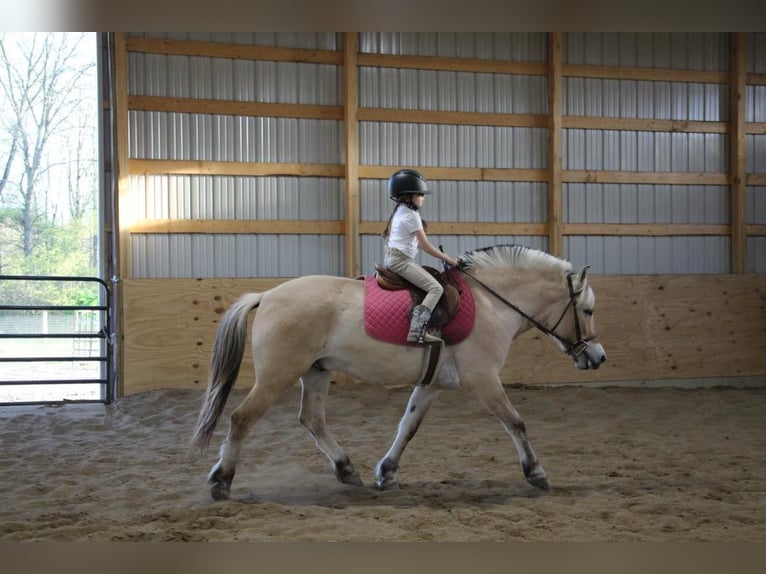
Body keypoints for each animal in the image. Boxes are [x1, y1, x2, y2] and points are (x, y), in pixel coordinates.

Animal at [190, 245, 608, 502]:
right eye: (587, 311)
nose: (598, 357)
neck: (491, 303)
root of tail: (268, 295)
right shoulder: (484, 380)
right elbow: (516, 422)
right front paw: (536, 473)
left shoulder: (433, 384)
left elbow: (408, 426)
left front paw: (387, 472)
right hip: (277, 376)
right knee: (242, 419)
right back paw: (221, 481)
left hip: (316, 372)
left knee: (312, 419)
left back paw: (346, 469)